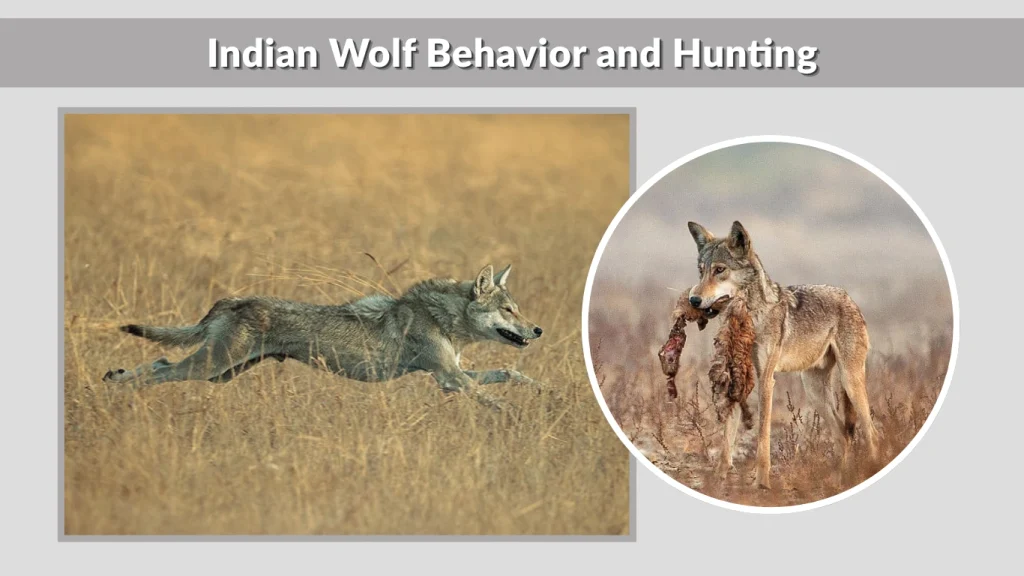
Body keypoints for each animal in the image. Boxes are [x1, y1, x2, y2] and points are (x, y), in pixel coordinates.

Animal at [103, 264, 543, 412]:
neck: (443, 317)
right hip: (211, 367)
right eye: (509, 310)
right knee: (158, 370)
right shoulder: (450, 379)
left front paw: (541, 390)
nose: (538, 330)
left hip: (221, 374)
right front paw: (515, 417)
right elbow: (491, 397)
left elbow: (509, 373)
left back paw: (113, 378)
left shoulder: (451, 376)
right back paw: (115, 387)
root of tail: (234, 300)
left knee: (159, 362)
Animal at [685, 221, 880, 489]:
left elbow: (762, 438)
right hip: (814, 390)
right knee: (843, 436)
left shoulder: (766, 380)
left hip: (850, 382)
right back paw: (838, 482)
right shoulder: (737, 377)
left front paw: (761, 484)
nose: (693, 299)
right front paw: (718, 481)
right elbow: (727, 440)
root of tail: (848, 297)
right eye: (701, 271)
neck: (750, 318)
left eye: (720, 270)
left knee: (871, 433)